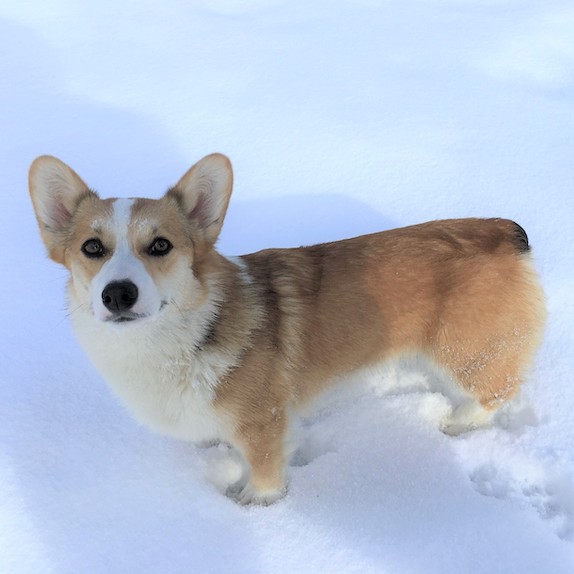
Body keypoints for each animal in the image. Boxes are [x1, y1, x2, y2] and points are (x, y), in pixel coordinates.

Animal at [29, 155, 548, 506]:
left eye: (160, 245)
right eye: (92, 247)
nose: (117, 294)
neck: (179, 337)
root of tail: (503, 230)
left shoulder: (263, 424)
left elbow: (264, 473)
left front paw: (254, 503)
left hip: (464, 350)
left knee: (495, 391)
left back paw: (457, 422)